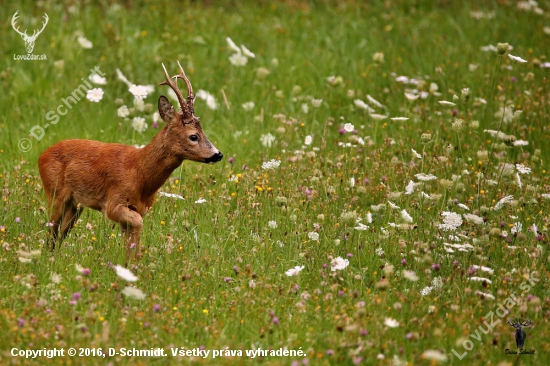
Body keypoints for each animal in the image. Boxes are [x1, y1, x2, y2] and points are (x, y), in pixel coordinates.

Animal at [38, 60, 224, 260]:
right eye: (193, 136)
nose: (218, 154)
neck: (140, 173)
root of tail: (41, 155)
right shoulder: (114, 203)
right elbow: (138, 225)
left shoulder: (138, 208)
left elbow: (131, 245)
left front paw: (130, 265)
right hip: (54, 192)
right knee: (51, 231)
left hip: (75, 204)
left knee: (60, 235)